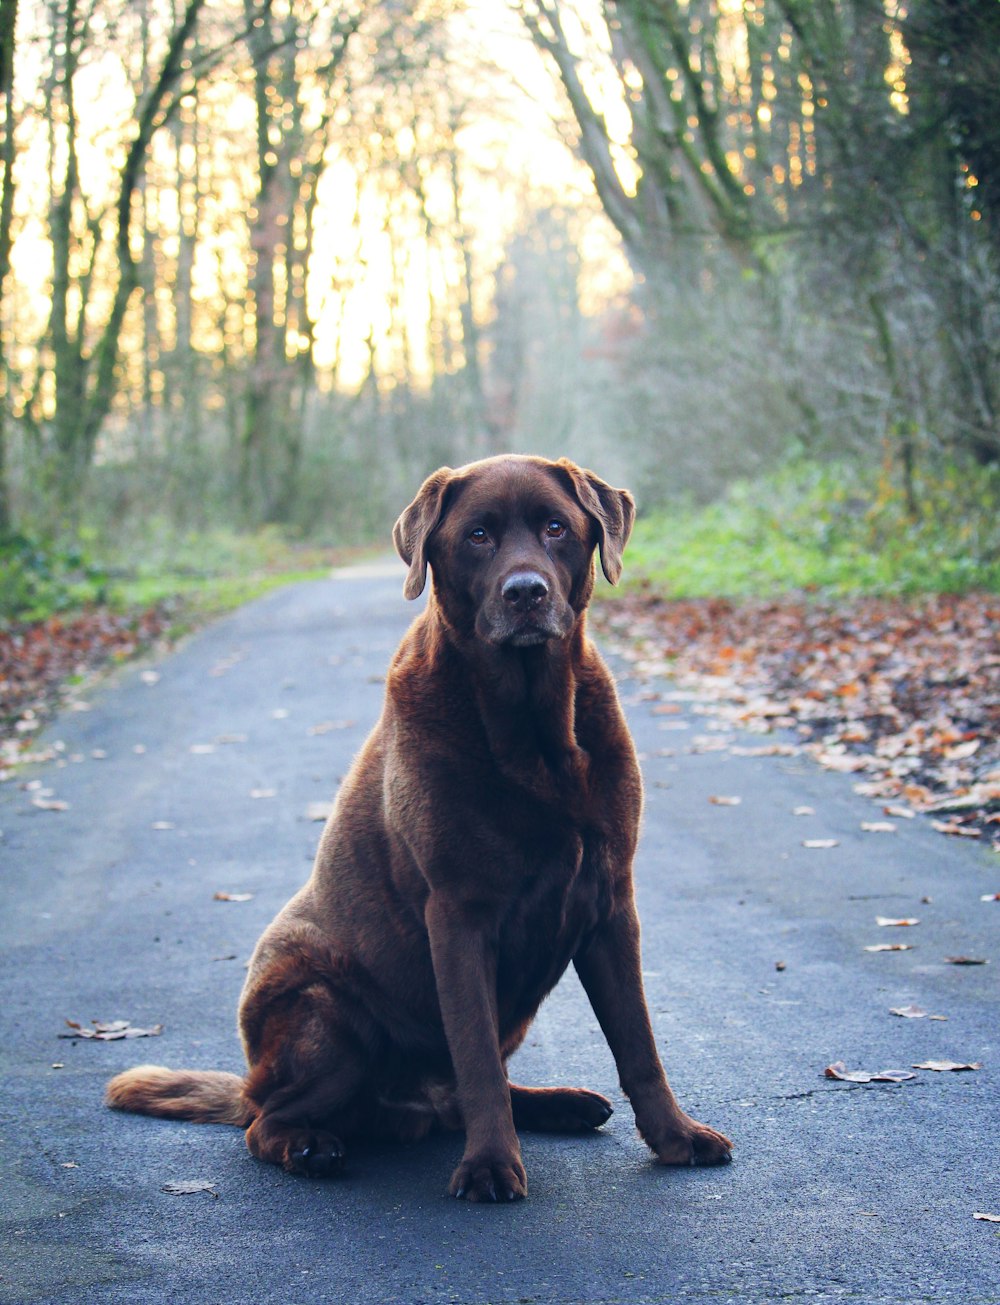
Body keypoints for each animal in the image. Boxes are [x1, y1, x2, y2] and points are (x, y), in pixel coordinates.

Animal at [109, 454, 731, 1195]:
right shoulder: (457, 914)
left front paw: (676, 1137)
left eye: (556, 527)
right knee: (271, 1120)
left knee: (460, 1093)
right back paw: (310, 1145)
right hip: (324, 1009)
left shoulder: (612, 903)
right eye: (478, 536)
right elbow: (477, 1057)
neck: (533, 735)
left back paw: (561, 1103)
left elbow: (638, 1043)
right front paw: (490, 1165)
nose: (526, 592)